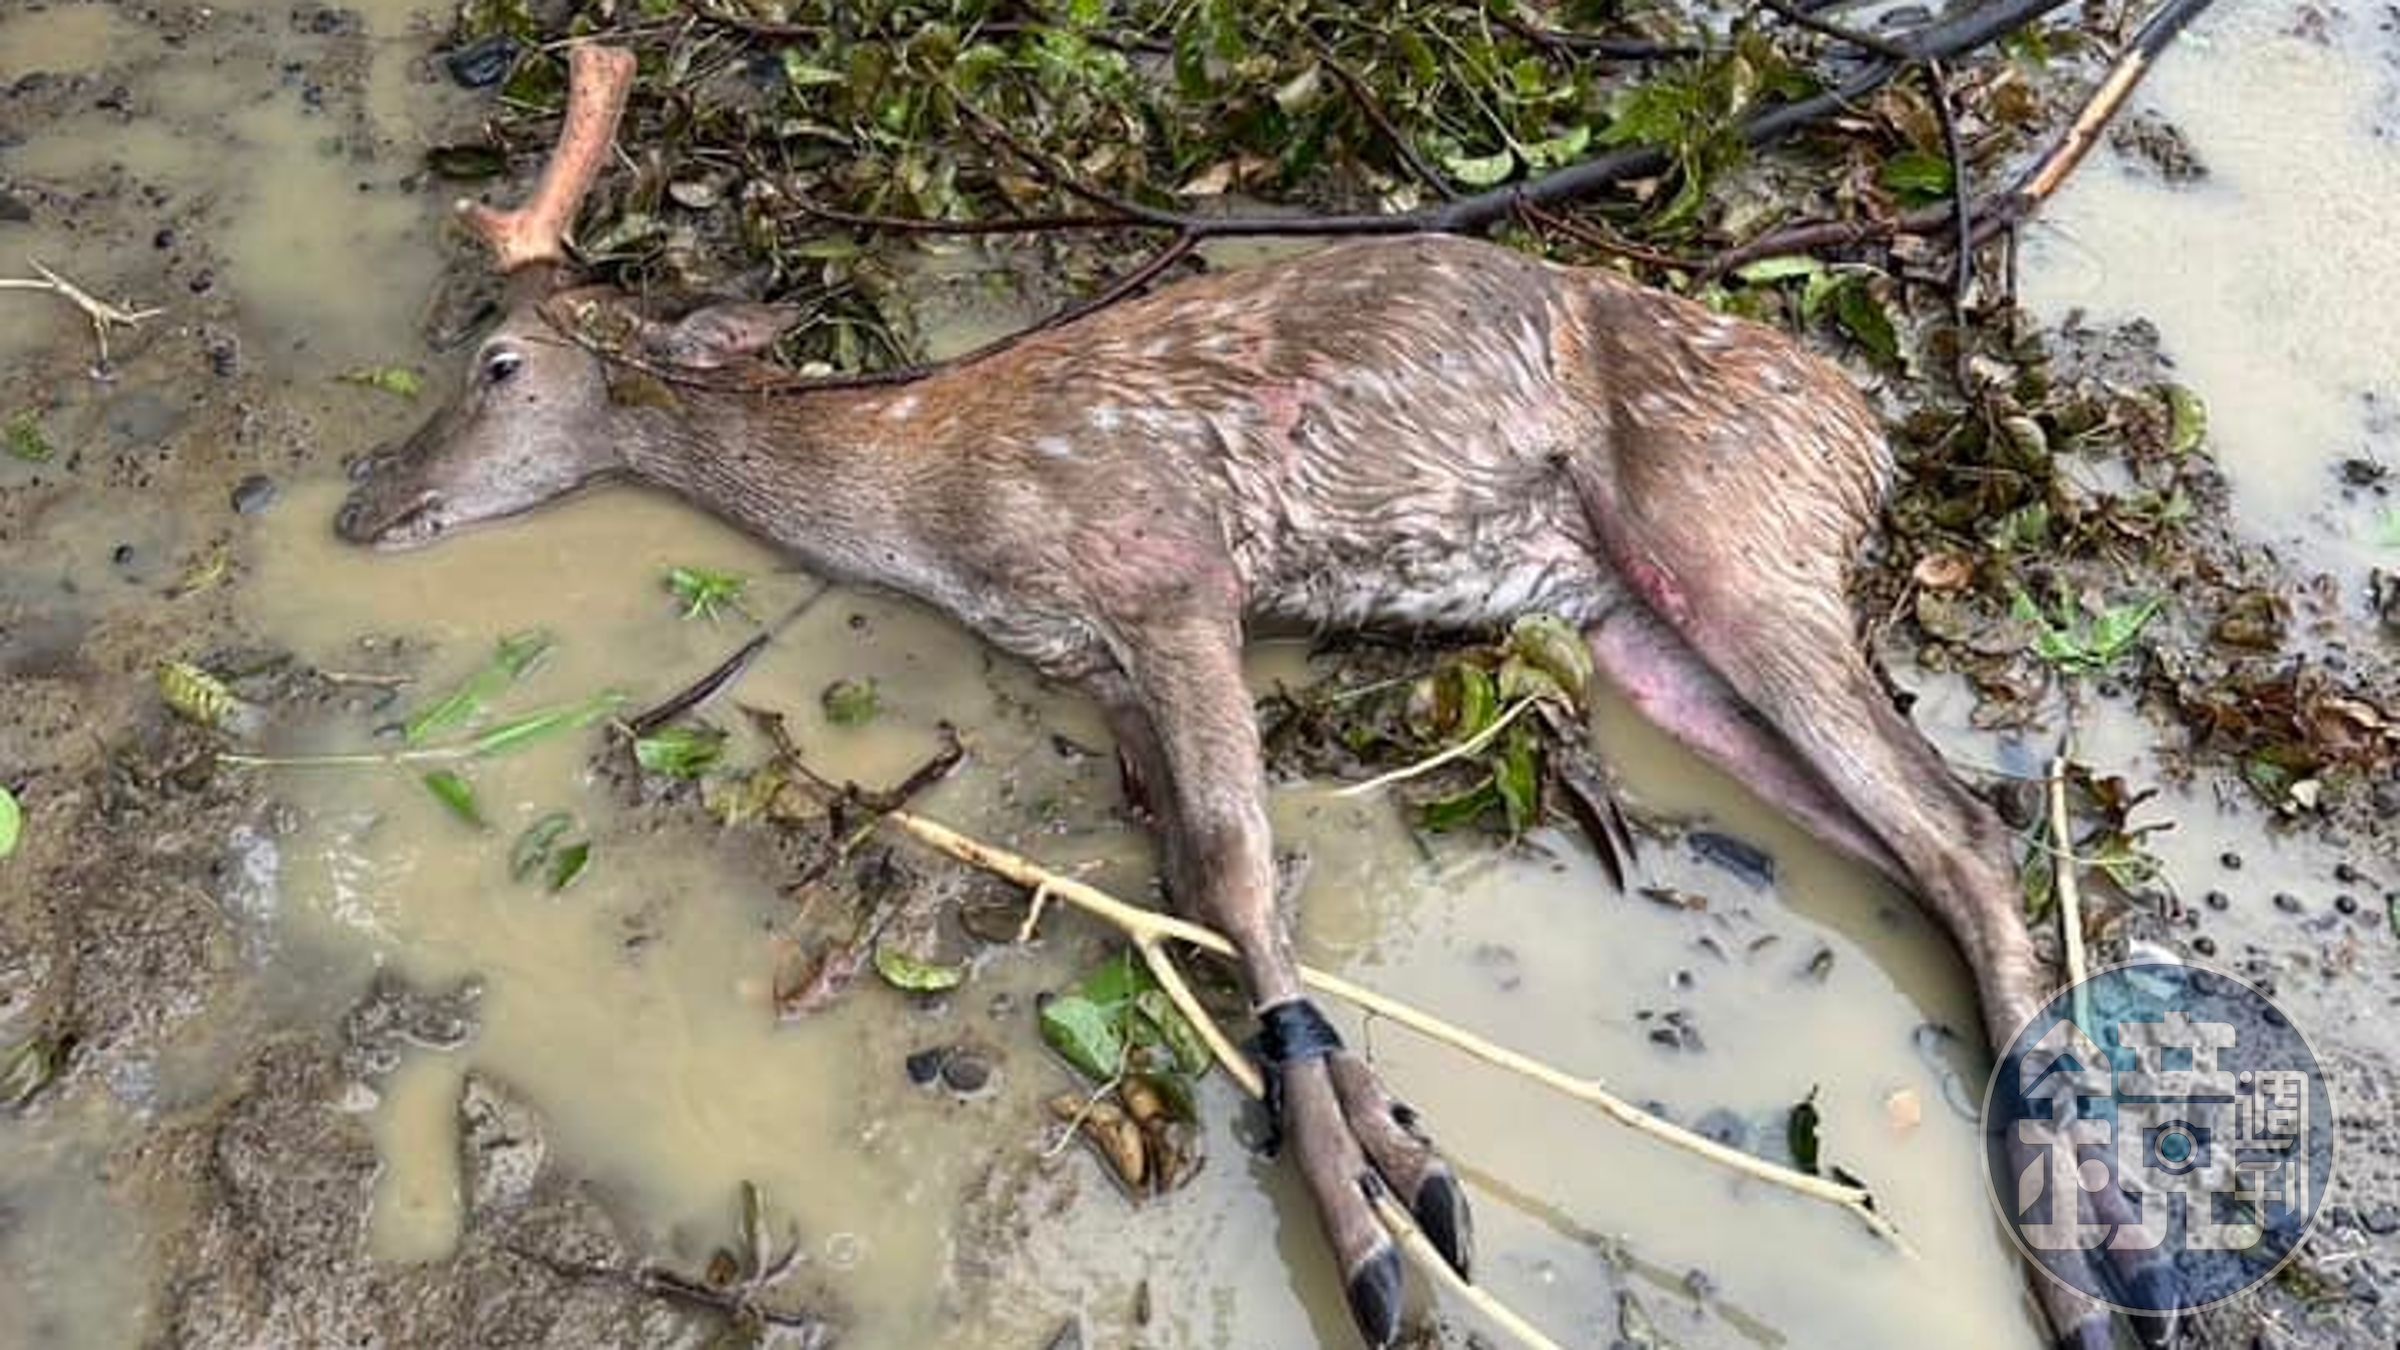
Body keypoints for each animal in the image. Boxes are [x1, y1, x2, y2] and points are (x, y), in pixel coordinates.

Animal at [335, 43, 2169, 1350]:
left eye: (498, 360)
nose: (362, 507)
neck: (931, 500)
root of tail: (1868, 440)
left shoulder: (1168, 571)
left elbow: (1232, 862)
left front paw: (1373, 1240)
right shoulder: (1099, 665)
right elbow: (1193, 876)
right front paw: (1406, 1152)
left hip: (1739, 542)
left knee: (1962, 825)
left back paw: (2095, 1272)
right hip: (1654, 639)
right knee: (1934, 843)